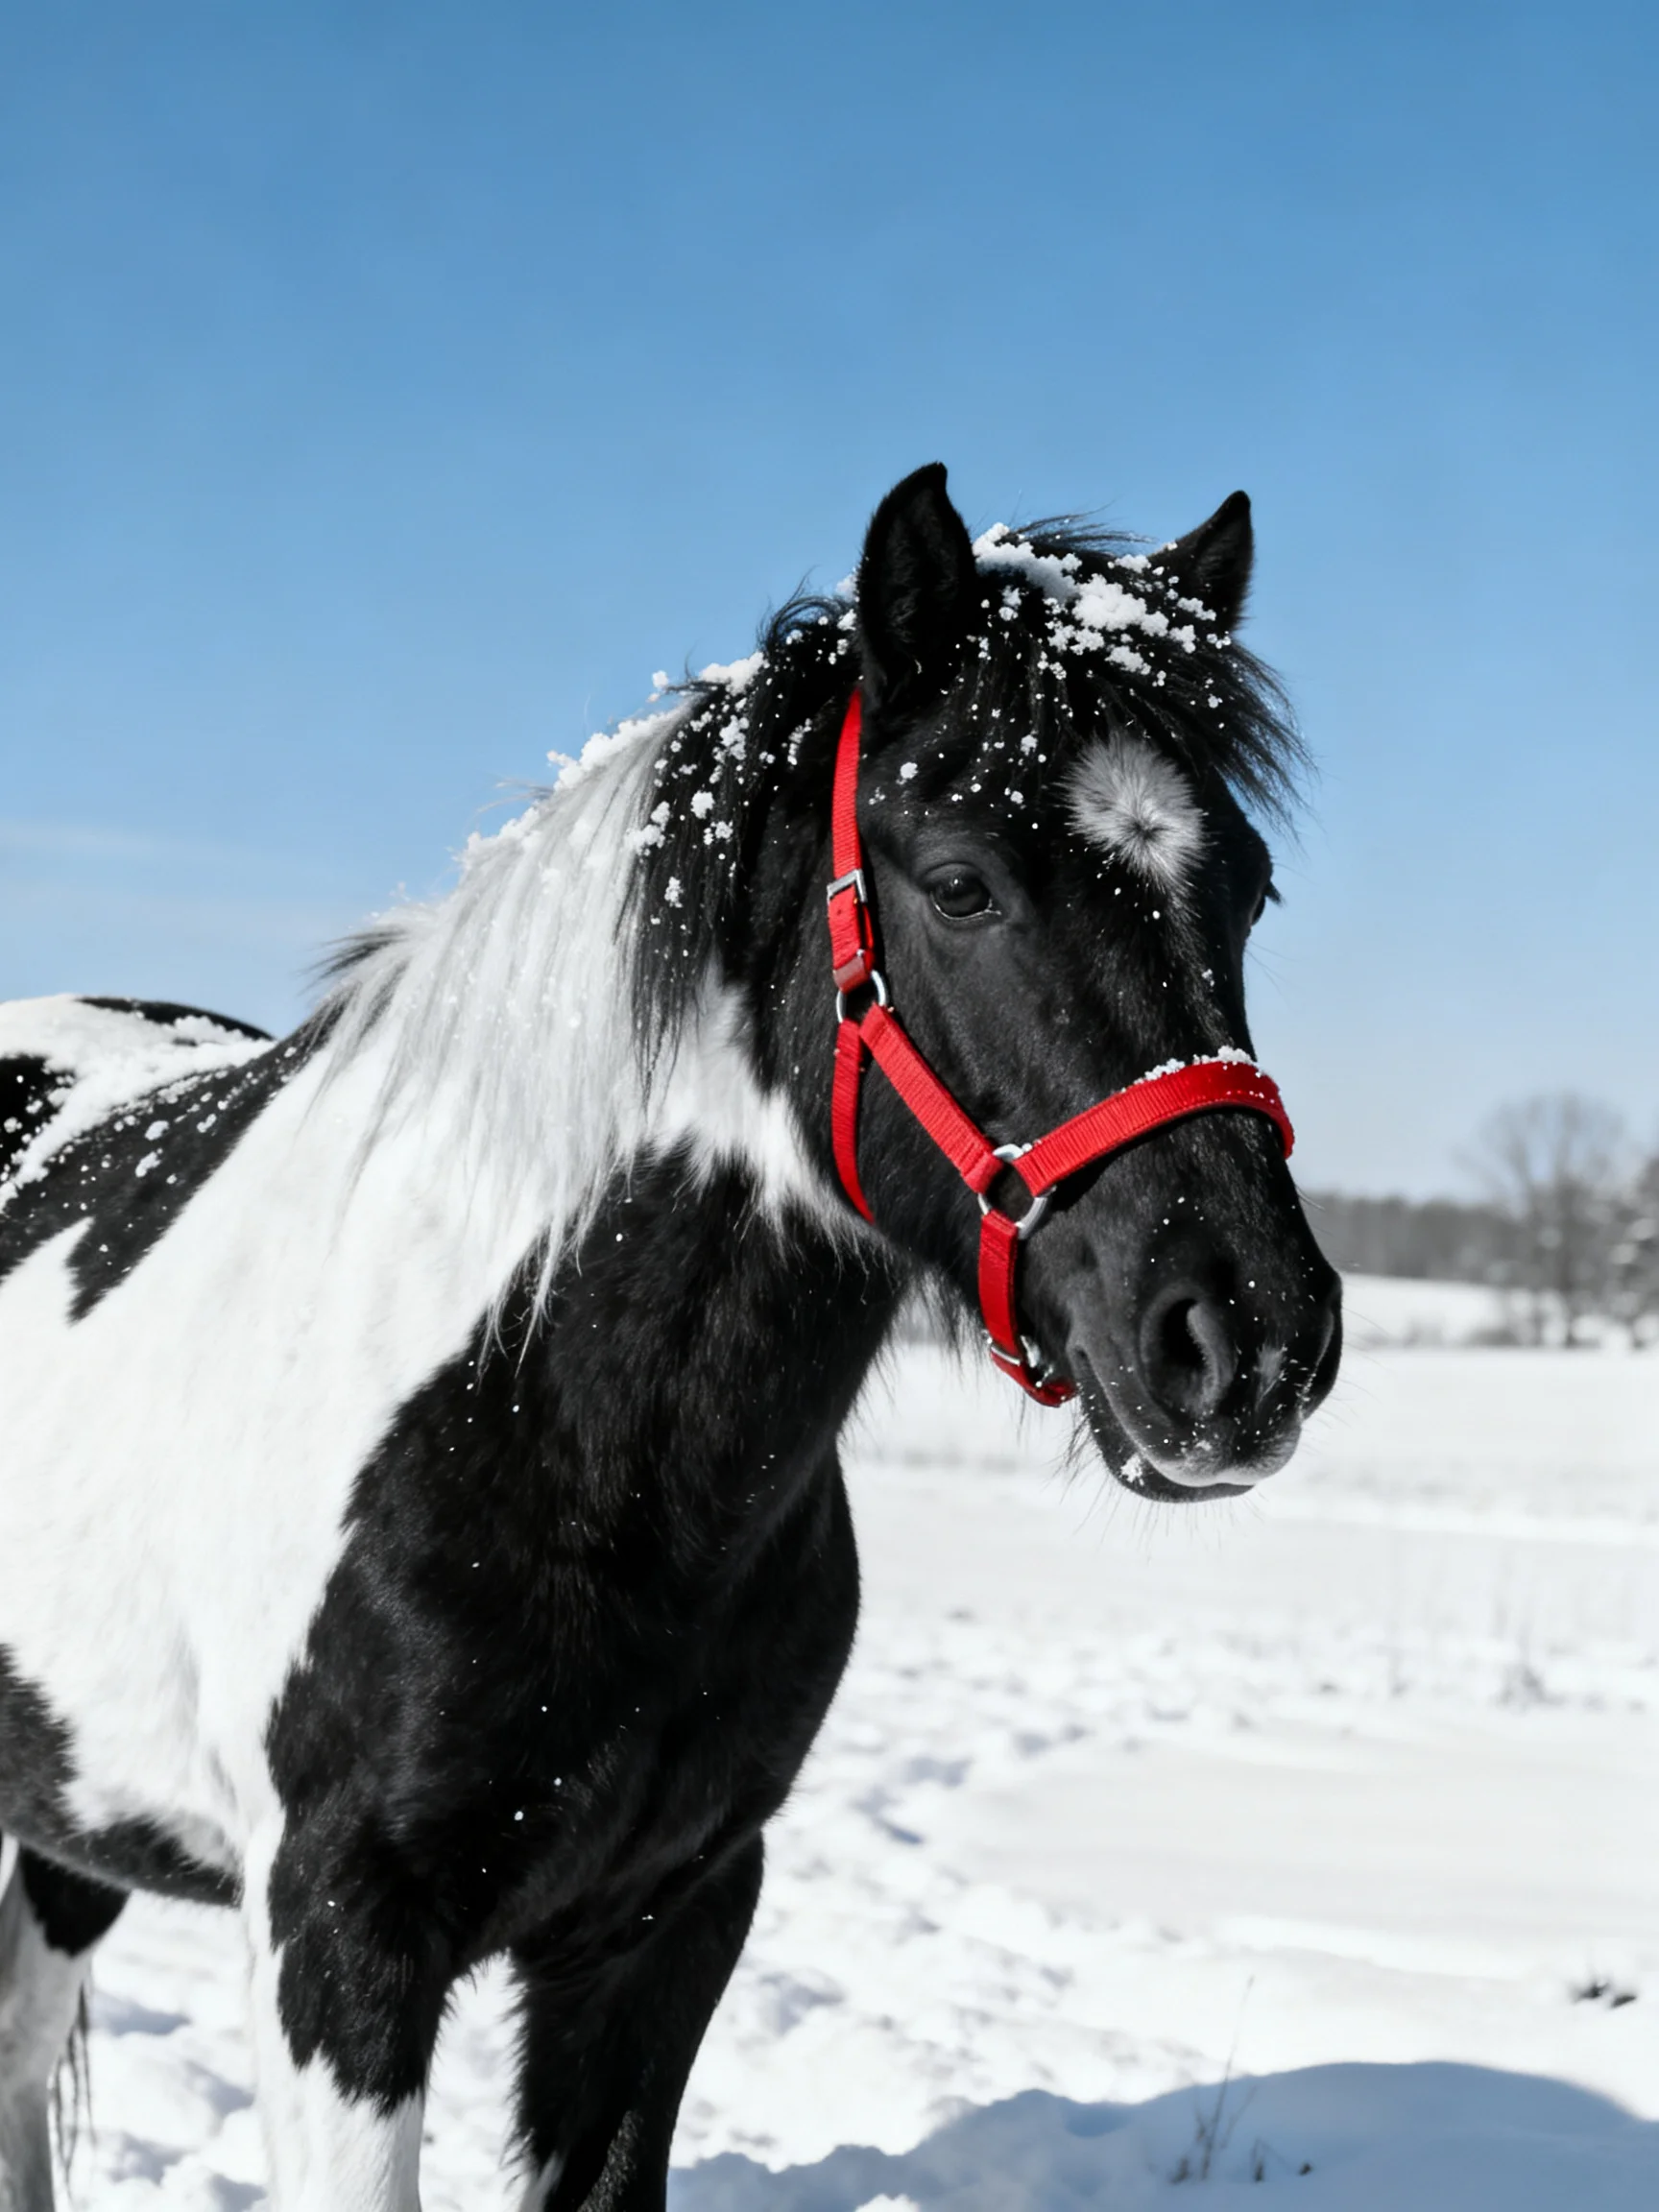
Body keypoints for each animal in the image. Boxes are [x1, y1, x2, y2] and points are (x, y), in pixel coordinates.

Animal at [0, 464, 1340, 2209]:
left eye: (1243, 884)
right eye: (960, 880)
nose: (1248, 1339)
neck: (553, 1425)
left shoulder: (669, 1927)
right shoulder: (337, 1947)